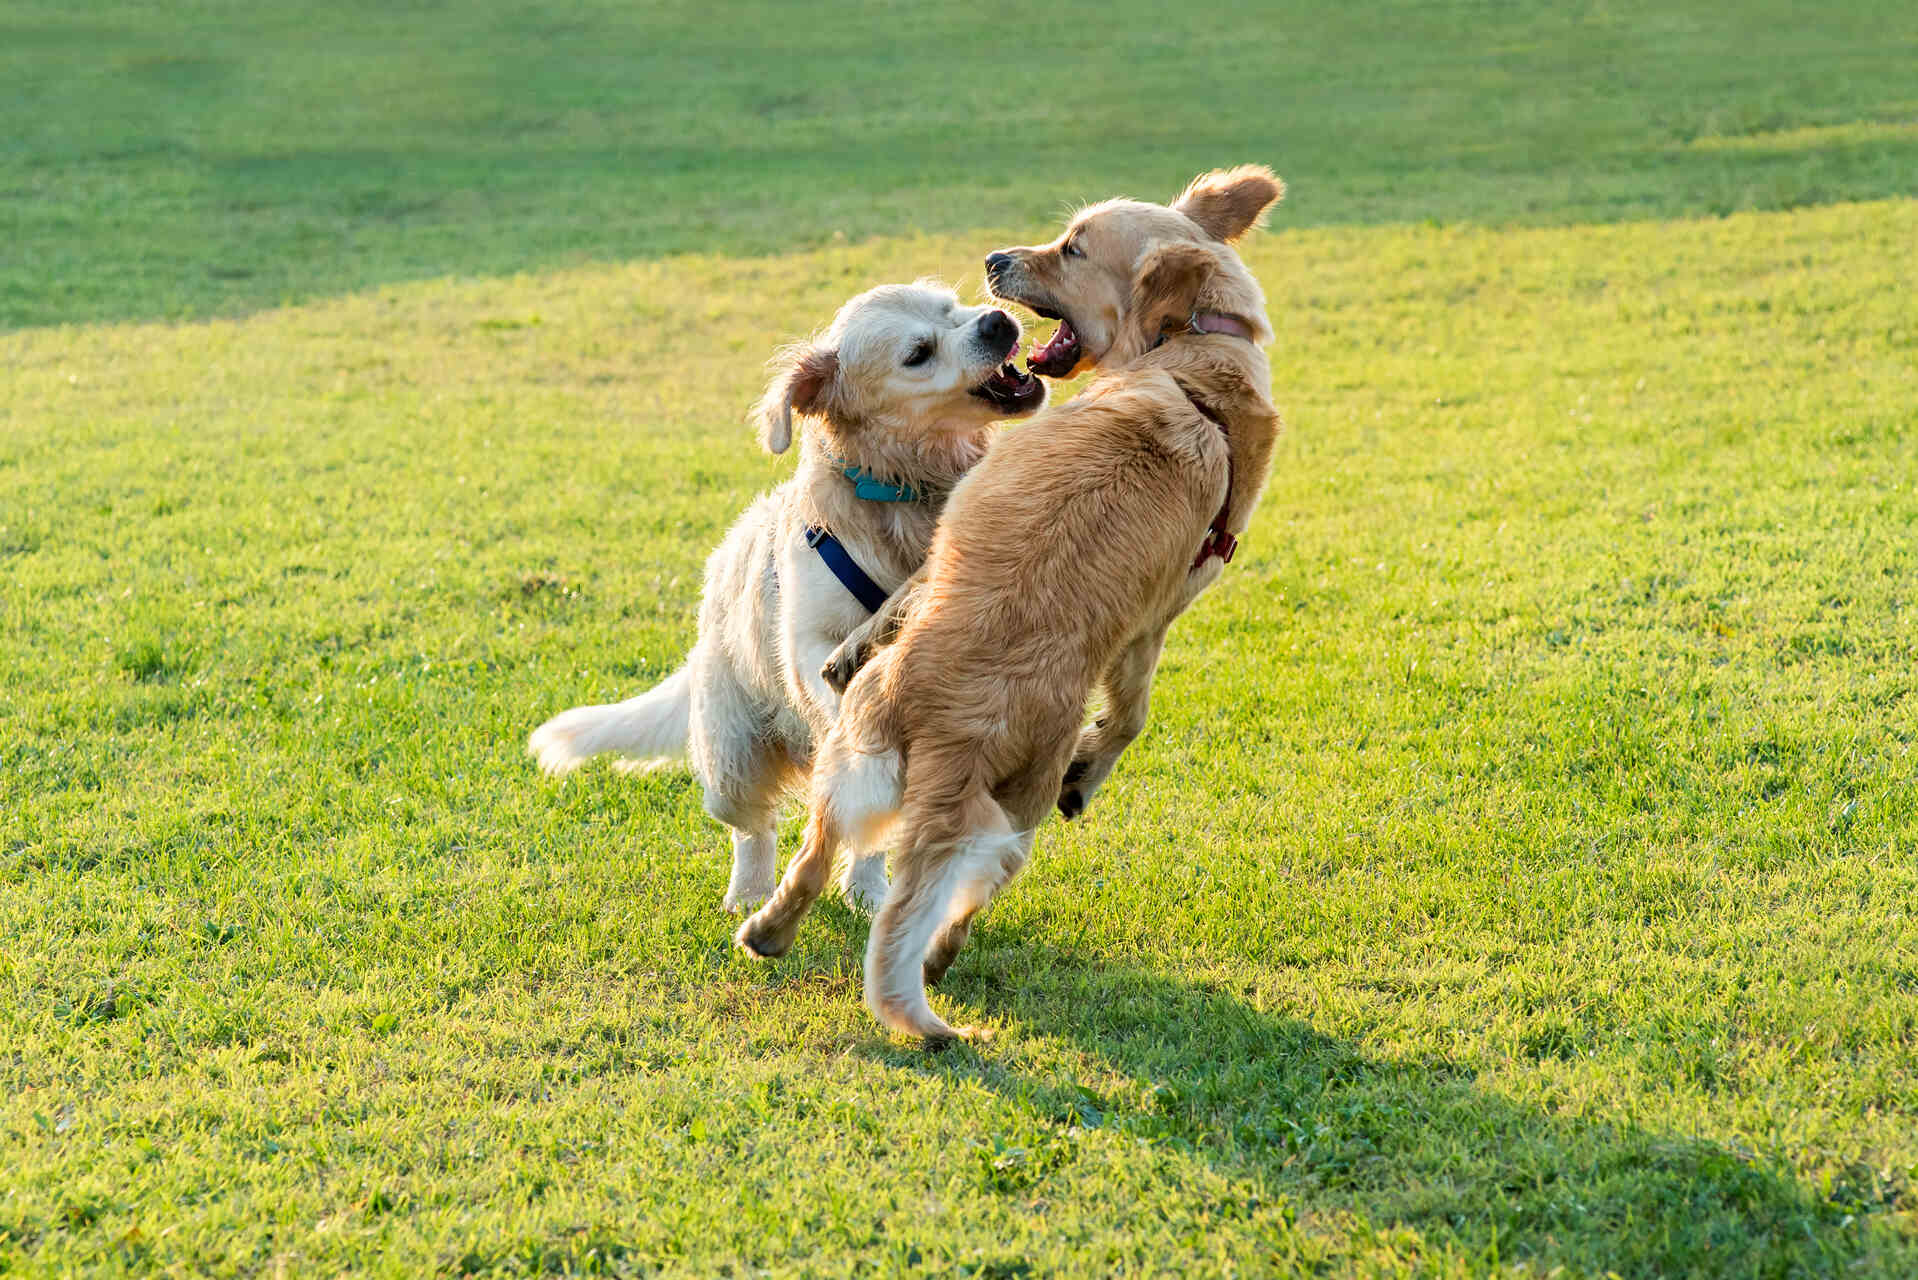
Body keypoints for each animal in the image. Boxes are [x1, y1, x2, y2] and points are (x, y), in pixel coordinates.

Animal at [525, 285, 1043, 917]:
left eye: (953, 306)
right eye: (917, 354)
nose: (995, 321)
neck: (903, 489)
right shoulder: (808, 644)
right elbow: (833, 682)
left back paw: (867, 889)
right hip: (730, 757)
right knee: (754, 828)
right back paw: (749, 893)